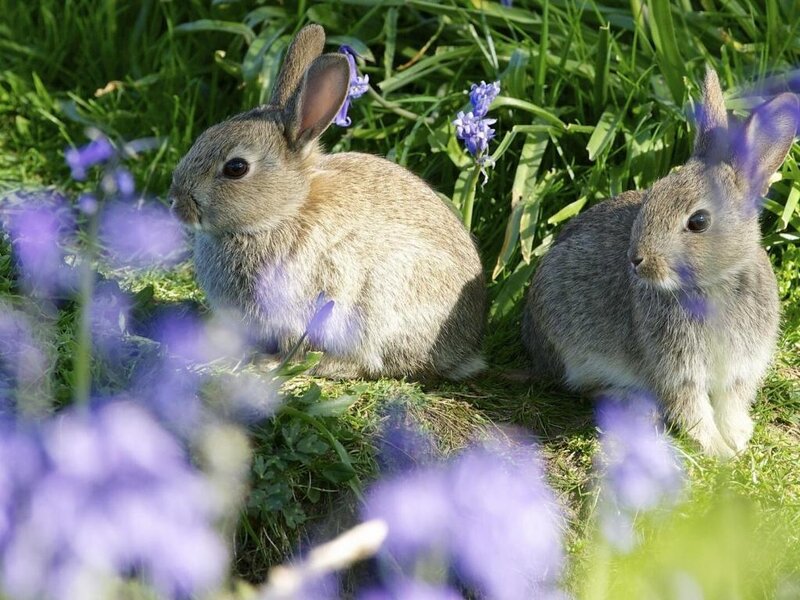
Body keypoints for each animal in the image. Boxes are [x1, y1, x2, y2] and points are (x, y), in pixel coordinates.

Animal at [522, 68, 798, 458]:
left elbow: (730, 404)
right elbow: (691, 408)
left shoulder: (739, 369)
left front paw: (737, 439)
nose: (636, 259)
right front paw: (719, 450)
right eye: (651, 195)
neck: (712, 283)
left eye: (698, 221)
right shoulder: (678, 370)